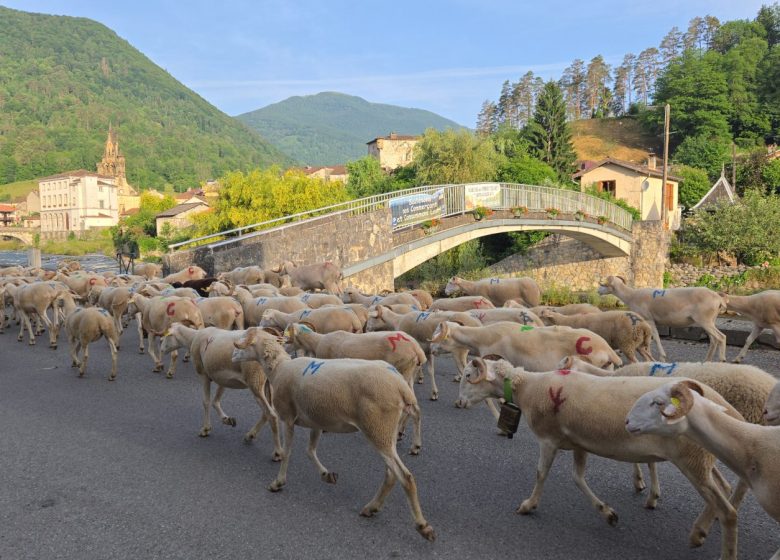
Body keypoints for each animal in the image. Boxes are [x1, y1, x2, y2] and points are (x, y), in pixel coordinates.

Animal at [159, 324, 283, 459]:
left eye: (165, 337)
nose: (161, 350)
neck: (192, 338)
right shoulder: (223, 379)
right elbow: (215, 401)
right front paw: (227, 420)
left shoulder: (203, 374)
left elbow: (206, 402)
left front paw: (206, 429)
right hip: (268, 383)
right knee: (267, 412)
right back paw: (250, 435)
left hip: (255, 381)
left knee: (271, 414)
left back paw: (277, 452)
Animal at [231, 329, 434, 541]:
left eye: (245, 341)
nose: (232, 355)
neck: (280, 368)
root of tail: (401, 387)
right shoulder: (316, 420)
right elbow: (310, 451)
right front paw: (327, 475)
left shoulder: (287, 417)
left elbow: (288, 453)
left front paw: (278, 482)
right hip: (387, 432)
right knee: (391, 474)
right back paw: (372, 508)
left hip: (378, 430)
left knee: (405, 477)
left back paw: (422, 525)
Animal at [458, 357, 743, 559]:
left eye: (469, 376)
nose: (460, 402)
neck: (527, 388)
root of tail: (724, 405)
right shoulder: (579, 441)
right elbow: (577, 477)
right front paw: (607, 513)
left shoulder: (548, 440)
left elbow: (541, 474)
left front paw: (528, 505)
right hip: (702, 457)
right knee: (724, 490)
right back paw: (700, 532)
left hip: (692, 458)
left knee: (727, 510)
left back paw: (711, 539)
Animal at [598, 275, 727, 362]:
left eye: (603, 284)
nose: (597, 291)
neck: (631, 296)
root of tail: (718, 298)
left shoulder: (648, 319)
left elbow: (655, 337)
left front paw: (659, 357)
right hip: (710, 320)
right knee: (714, 340)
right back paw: (707, 361)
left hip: (705, 320)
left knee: (721, 337)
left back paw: (721, 360)